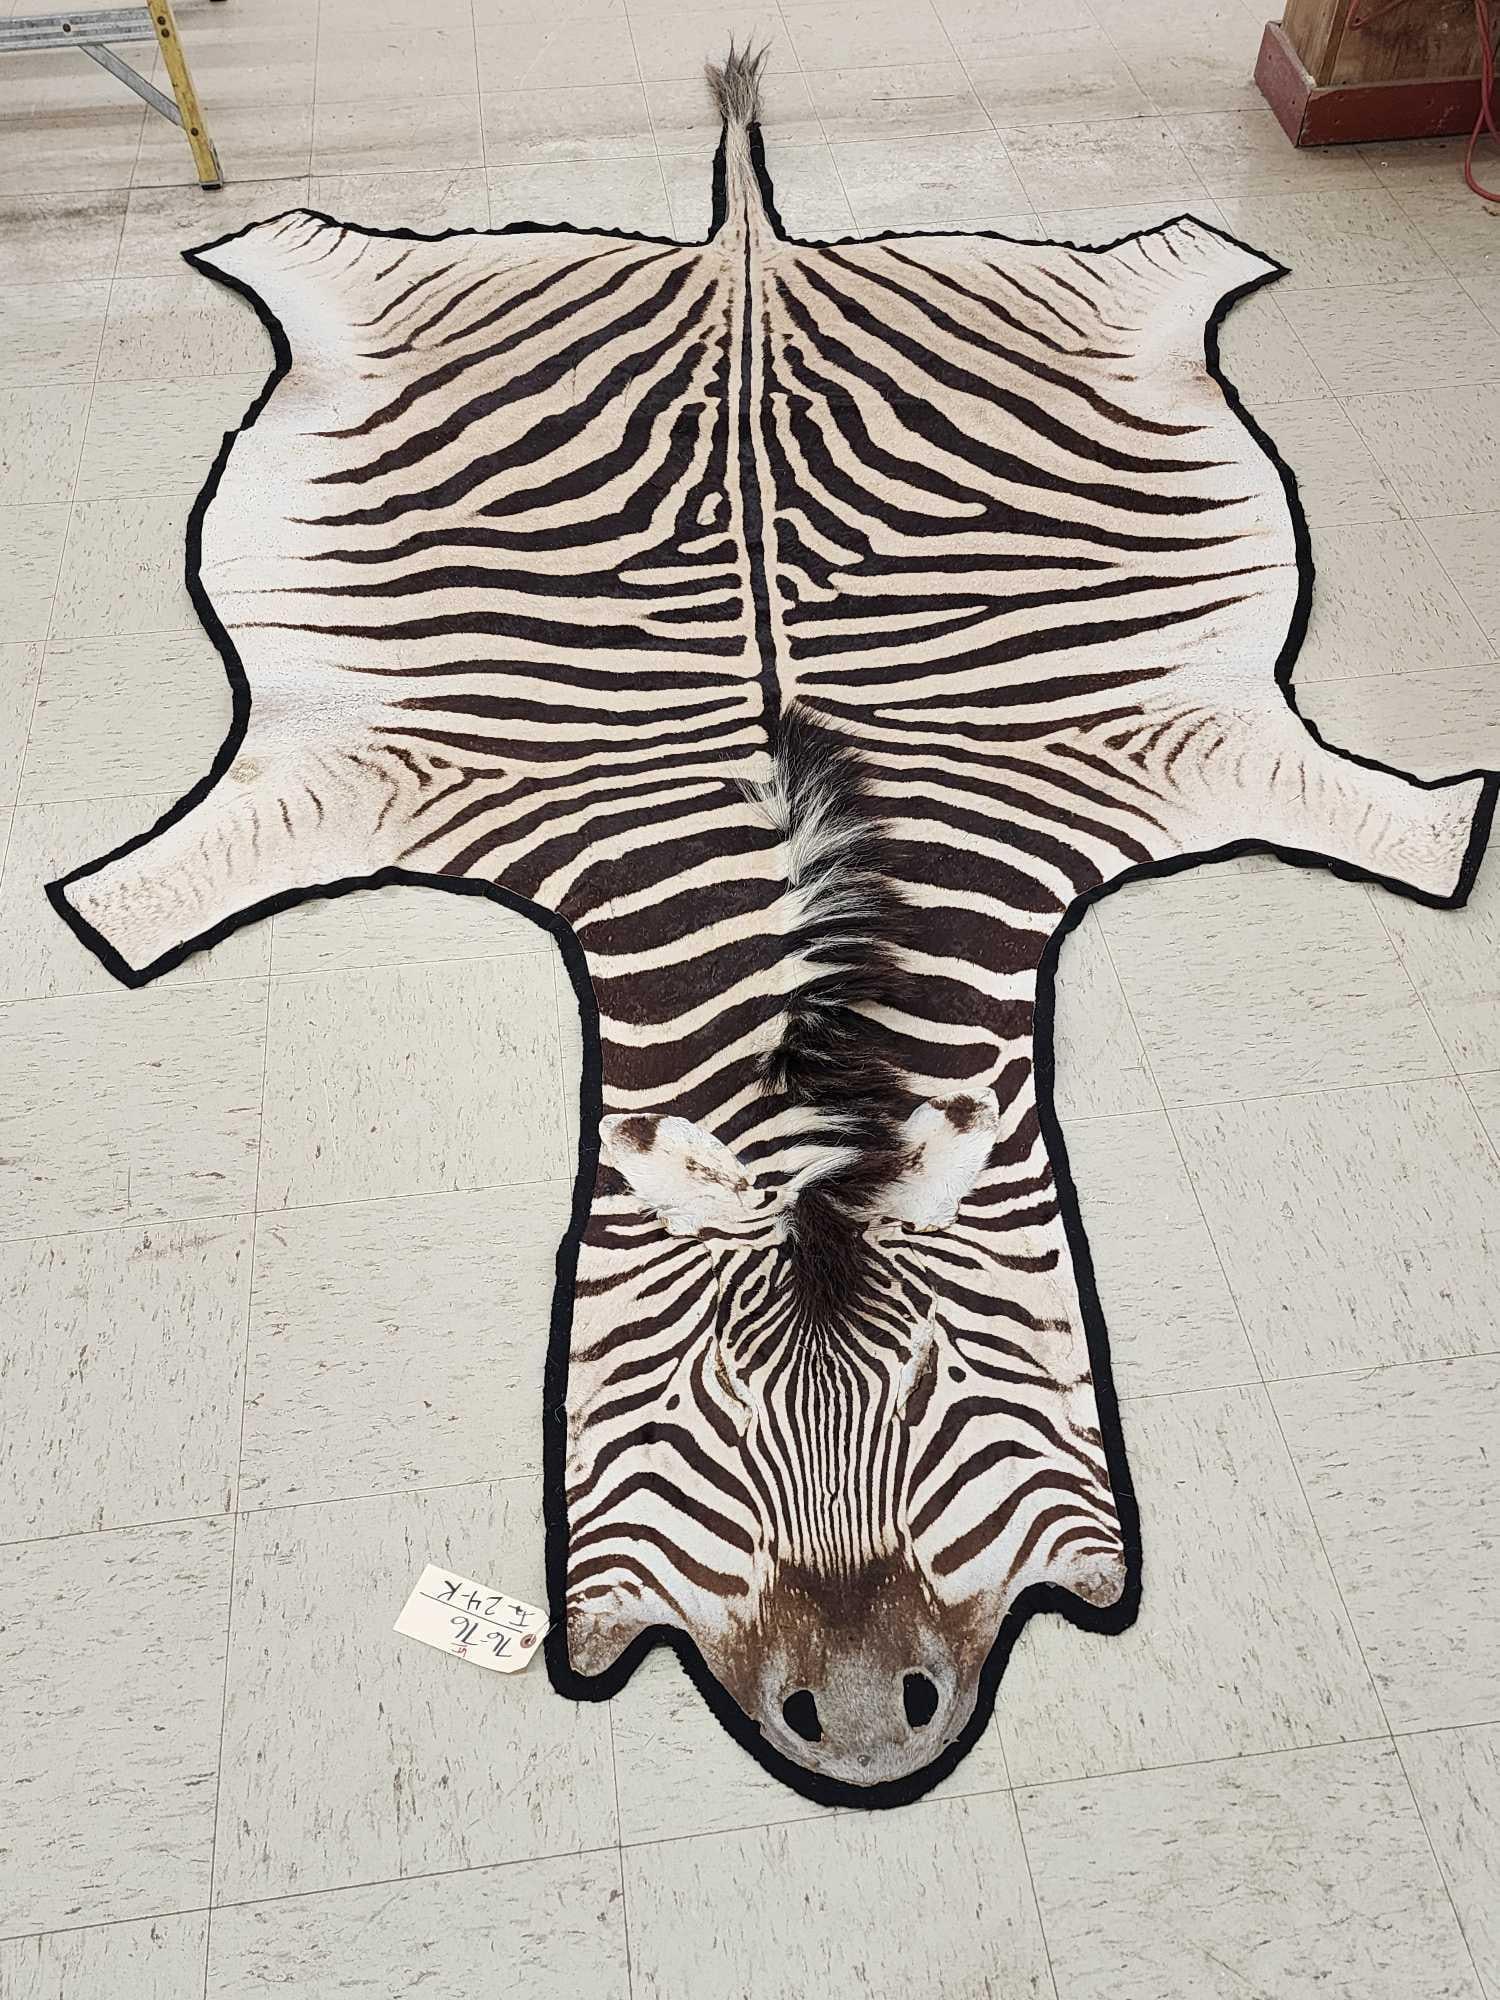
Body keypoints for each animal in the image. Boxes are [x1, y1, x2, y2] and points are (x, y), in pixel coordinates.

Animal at [52, 48, 1495, 1802]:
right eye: (704, 1409)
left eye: (942, 1384)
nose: (869, 1732)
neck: (807, 969)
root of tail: (747, 241)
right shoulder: (360, 783)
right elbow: (155, 884)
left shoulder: (1199, 755)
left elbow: (1397, 820)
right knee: (311, 252)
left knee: (1175, 257)